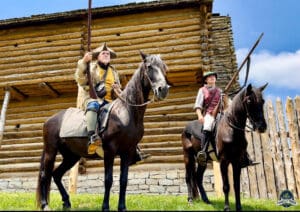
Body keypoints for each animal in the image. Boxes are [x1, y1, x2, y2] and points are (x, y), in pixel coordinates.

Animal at [35, 51, 169, 210]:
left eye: (164, 67)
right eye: (149, 66)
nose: (163, 89)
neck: (126, 112)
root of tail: (49, 120)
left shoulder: (128, 152)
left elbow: (124, 180)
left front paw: (122, 207)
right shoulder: (110, 151)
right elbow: (108, 179)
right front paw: (105, 206)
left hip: (71, 156)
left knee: (56, 174)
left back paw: (67, 202)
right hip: (51, 151)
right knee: (45, 175)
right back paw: (45, 205)